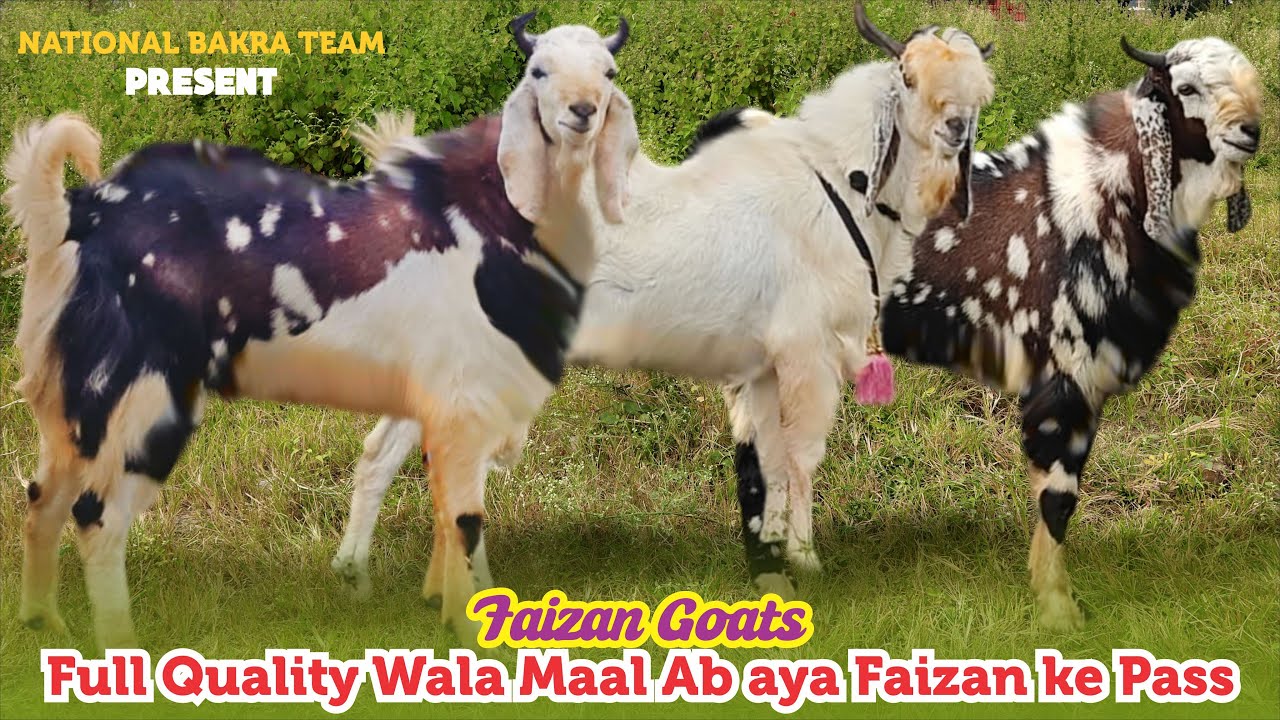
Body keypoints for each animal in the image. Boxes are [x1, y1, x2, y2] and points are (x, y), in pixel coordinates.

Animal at [4, 13, 638, 649]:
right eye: (539, 71)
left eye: (608, 73)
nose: (582, 111)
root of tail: (77, 214)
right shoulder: (468, 399)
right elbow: (463, 518)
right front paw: (473, 628)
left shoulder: (435, 398)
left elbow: (414, 484)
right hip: (142, 396)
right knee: (97, 515)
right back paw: (121, 648)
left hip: (74, 402)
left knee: (43, 498)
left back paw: (42, 623)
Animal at [330, 4, 995, 602]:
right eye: (907, 77)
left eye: (976, 93)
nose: (956, 128)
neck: (833, 184)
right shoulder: (805, 349)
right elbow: (804, 456)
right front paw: (808, 561)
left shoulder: (763, 367)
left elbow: (773, 462)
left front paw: (772, 555)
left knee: (385, 451)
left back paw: (355, 574)